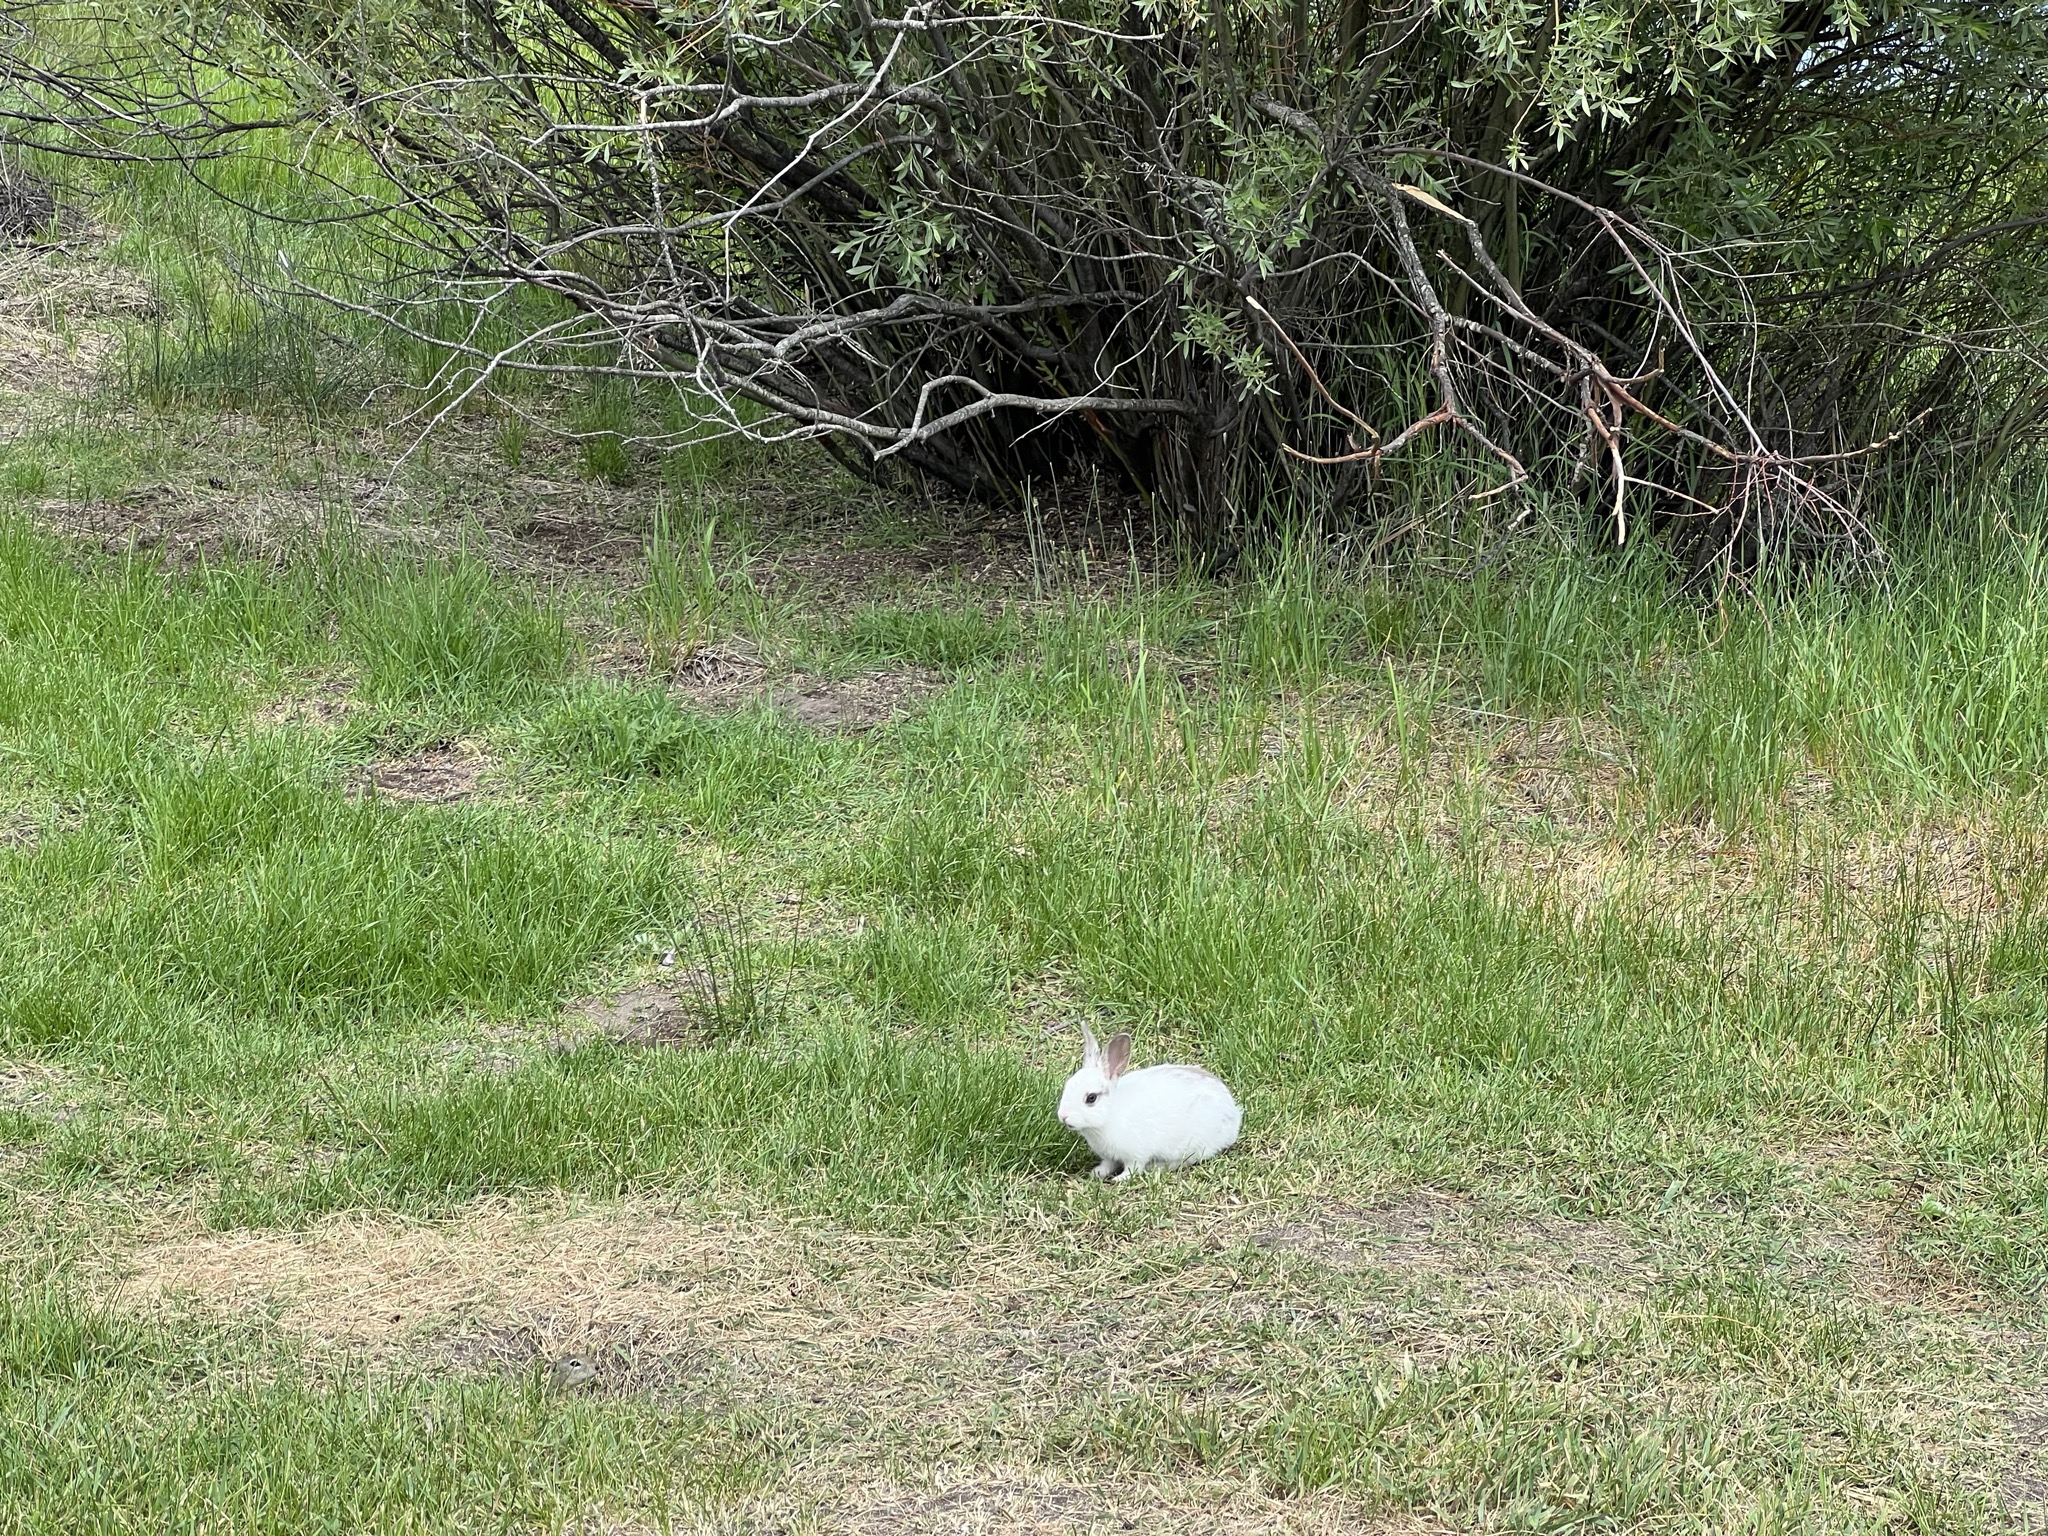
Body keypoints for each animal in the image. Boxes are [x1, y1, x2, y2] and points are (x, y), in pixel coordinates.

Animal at [1057, 1023, 1241, 1180]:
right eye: (1067, 1086)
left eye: (1091, 1098)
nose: (1063, 1116)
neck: (1109, 1116)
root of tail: (1234, 1115)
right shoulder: (1109, 1157)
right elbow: (1107, 1164)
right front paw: (1097, 1173)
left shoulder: (1136, 1155)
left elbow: (1133, 1168)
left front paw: (1119, 1179)